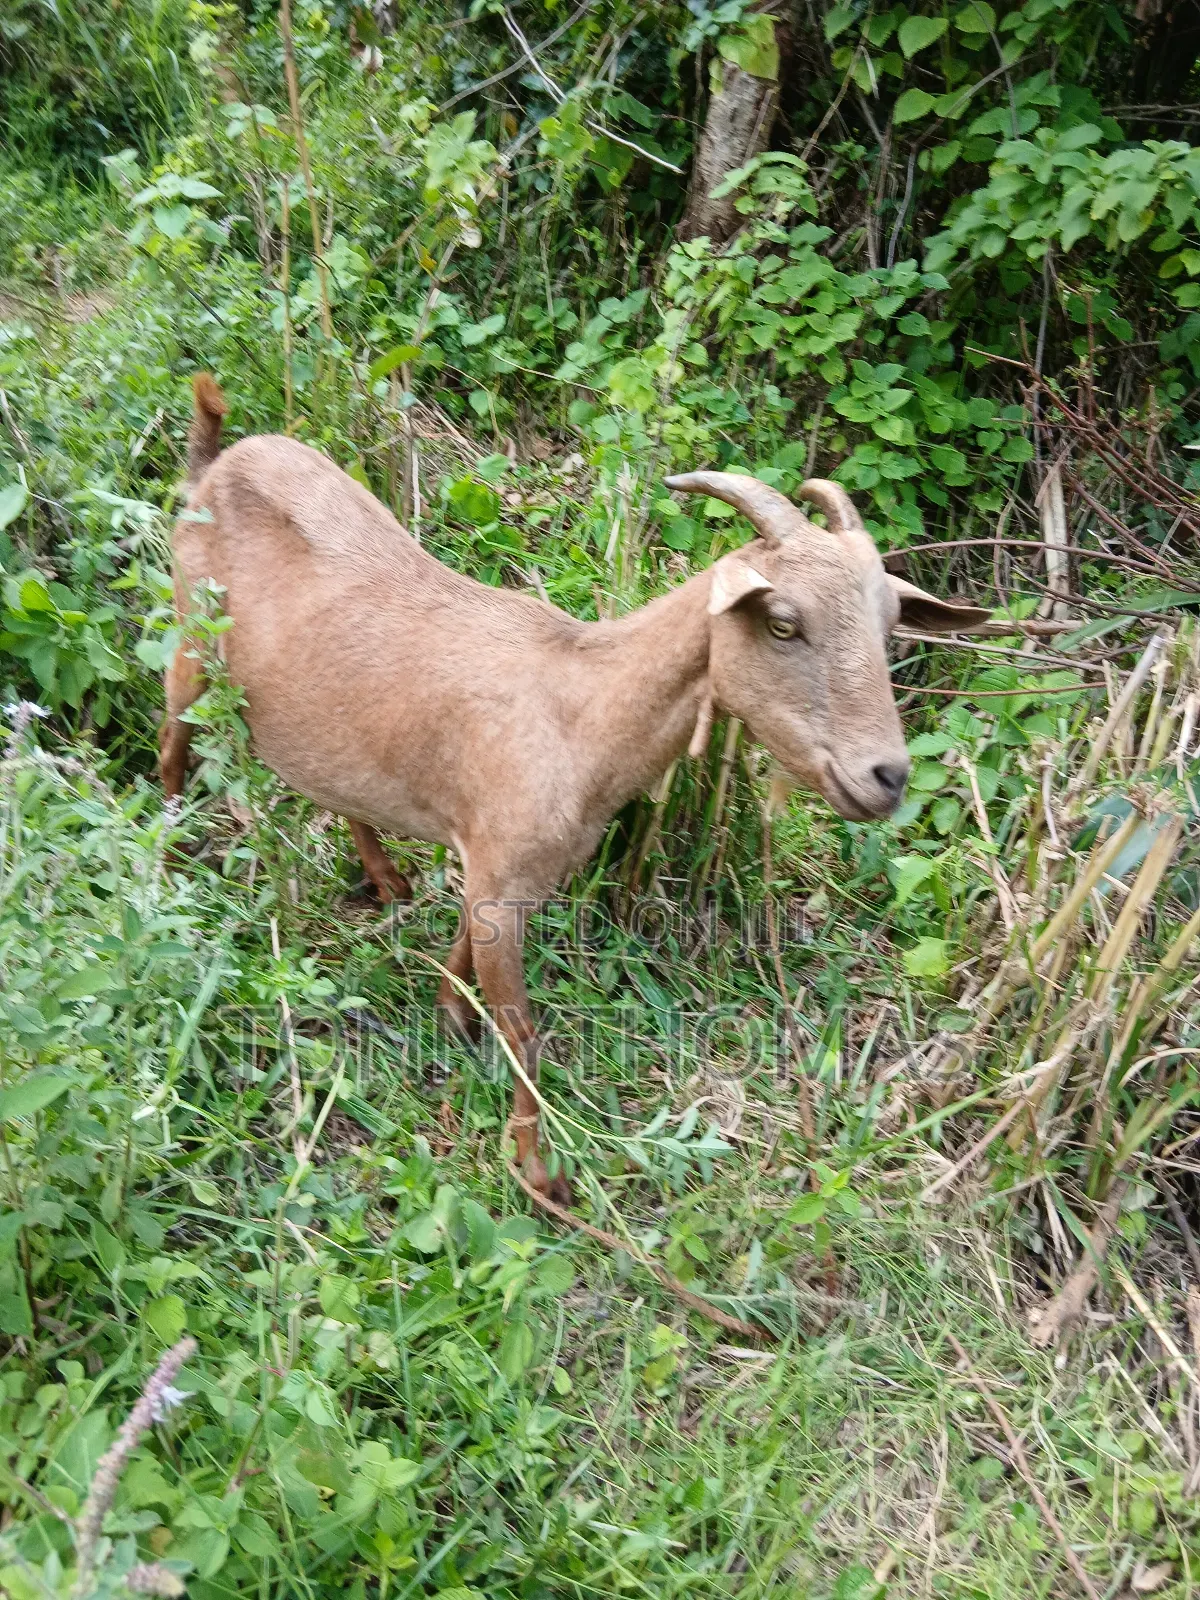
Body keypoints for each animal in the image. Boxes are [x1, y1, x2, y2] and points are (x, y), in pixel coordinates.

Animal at [164, 374, 988, 1203]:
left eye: (890, 622)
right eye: (783, 623)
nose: (887, 776)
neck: (580, 709)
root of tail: (212, 463)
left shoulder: (504, 874)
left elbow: (466, 958)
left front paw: (452, 1013)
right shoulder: (501, 880)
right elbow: (526, 1034)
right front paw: (538, 1172)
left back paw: (386, 879)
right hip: (190, 643)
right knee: (172, 747)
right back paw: (165, 867)